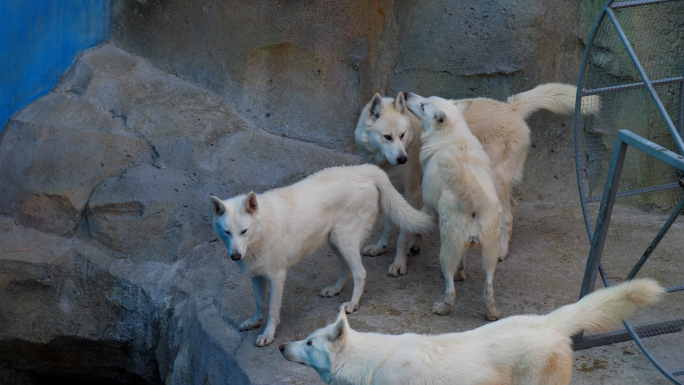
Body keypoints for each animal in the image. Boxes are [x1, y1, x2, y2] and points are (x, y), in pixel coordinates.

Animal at [210, 164, 432, 346]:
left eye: (244, 231)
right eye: (227, 232)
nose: (235, 256)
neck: (262, 230)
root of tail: (366, 169)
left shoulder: (277, 278)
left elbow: (272, 310)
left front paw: (268, 335)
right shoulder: (256, 276)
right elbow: (259, 304)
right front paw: (254, 322)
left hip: (344, 241)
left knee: (360, 274)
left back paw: (353, 304)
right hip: (335, 243)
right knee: (347, 272)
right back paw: (334, 290)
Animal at [358, 84, 600, 276]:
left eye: (401, 135)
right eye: (387, 137)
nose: (402, 159)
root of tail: (510, 107)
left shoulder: (413, 193)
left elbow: (403, 232)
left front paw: (399, 264)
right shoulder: (395, 190)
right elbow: (390, 225)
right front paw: (381, 247)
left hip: (495, 181)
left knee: (508, 214)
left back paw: (502, 251)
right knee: (514, 205)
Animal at [406, 91, 502, 318]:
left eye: (423, 105)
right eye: (424, 100)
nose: (406, 94)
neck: (452, 137)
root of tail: (475, 197)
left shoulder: (428, 207)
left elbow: (419, 230)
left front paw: (414, 247)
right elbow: (463, 258)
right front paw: (462, 271)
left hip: (445, 252)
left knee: (450, 292)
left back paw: (441, 309)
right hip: (490, 257)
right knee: (488, 289)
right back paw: (492, 314)